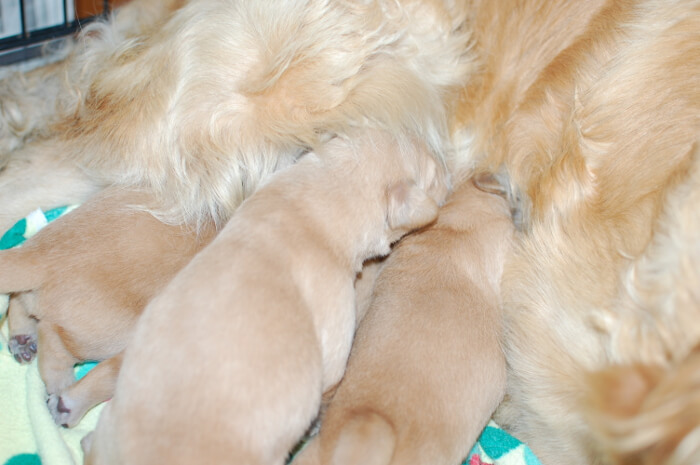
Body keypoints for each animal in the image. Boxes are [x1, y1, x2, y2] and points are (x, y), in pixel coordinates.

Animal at [1, 187, 215, 426]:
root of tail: (41, 258)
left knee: (18, 301)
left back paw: (22, 339)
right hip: (113, 336)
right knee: (55, 342)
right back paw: (63, 394)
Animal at [82, 130, 448, 464]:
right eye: (434, 172)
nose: (448, 168)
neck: (305, 209)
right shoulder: (334, 333)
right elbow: (330, 378)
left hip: (110, 420)